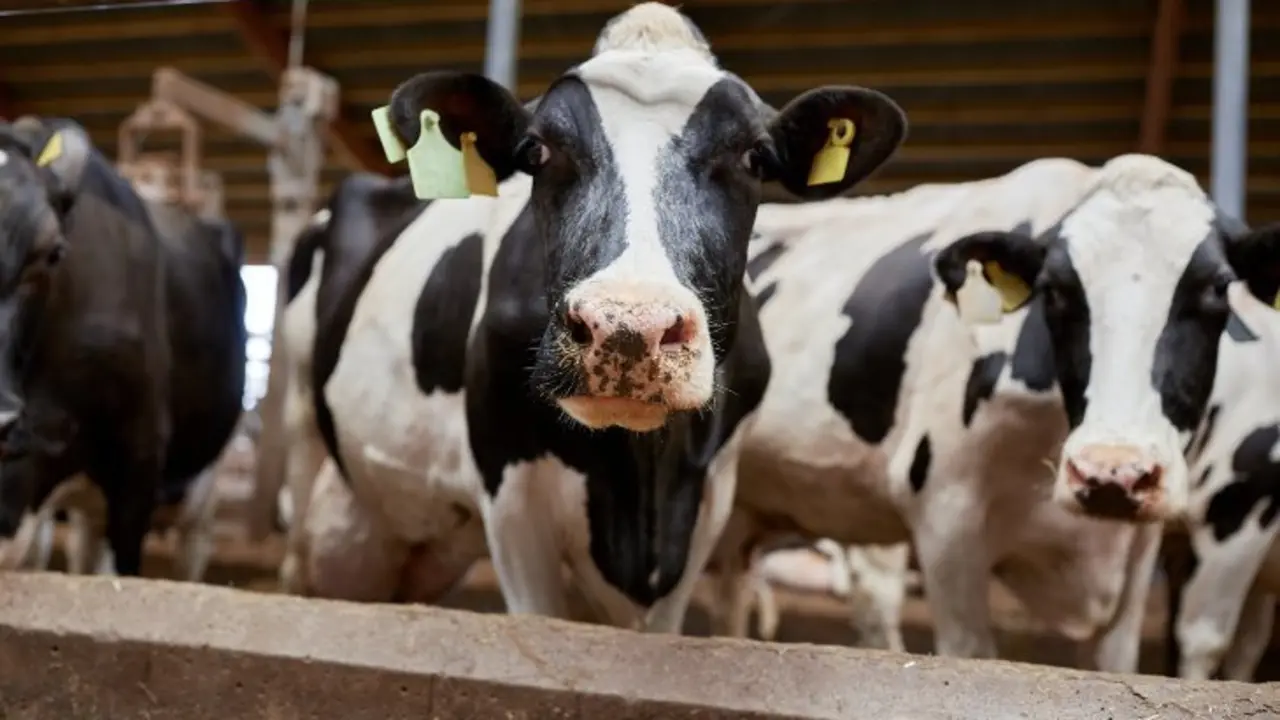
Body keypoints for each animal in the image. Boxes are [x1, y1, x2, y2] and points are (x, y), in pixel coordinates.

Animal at [283, 2, 906, 629]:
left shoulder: (708, 497)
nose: (629, 328)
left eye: (754, 157)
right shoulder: (509, 491)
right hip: (303, 438)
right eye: (537, 152)